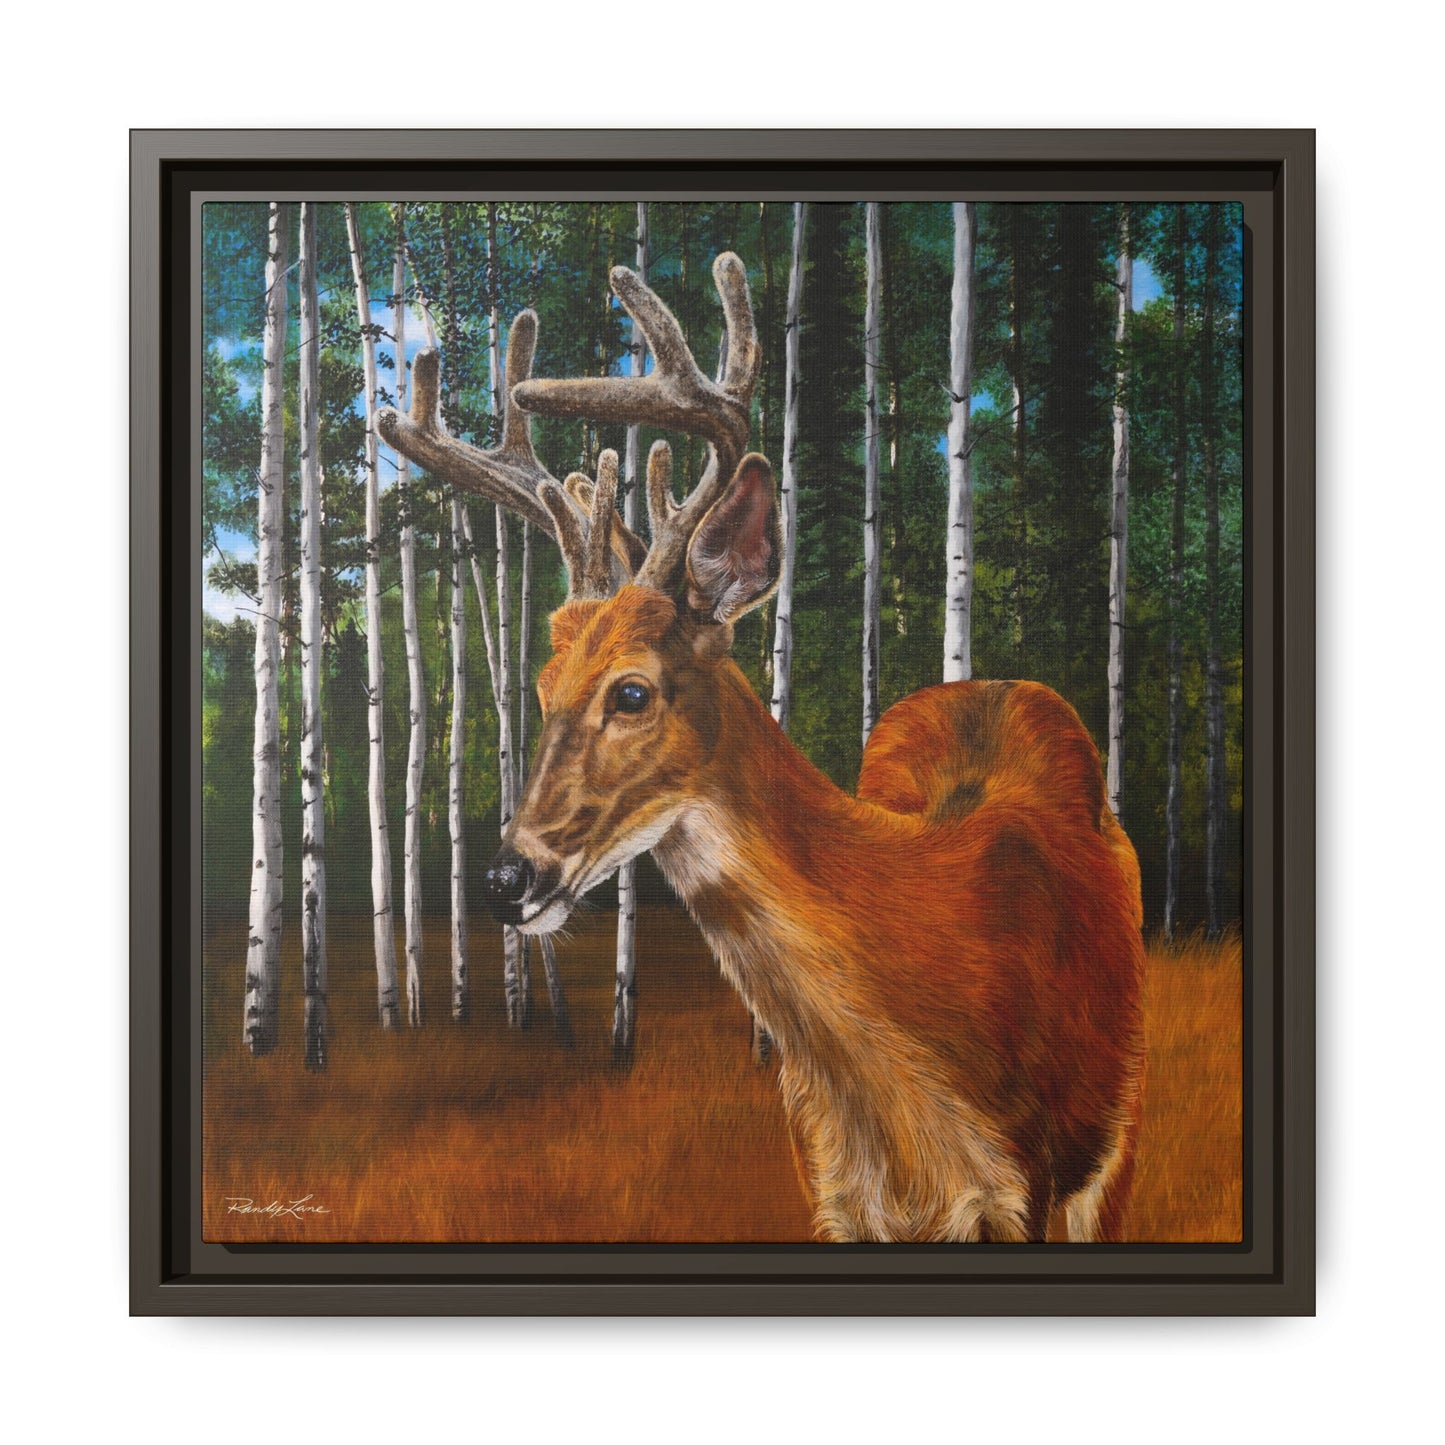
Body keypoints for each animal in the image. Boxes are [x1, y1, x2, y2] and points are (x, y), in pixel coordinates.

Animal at [377, 251, 1146, 1244]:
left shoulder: (1028, 1187)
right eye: (542, 689)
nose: (506, 878)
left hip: (1115, 1139)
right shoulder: (827, 1185)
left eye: (631, 691)